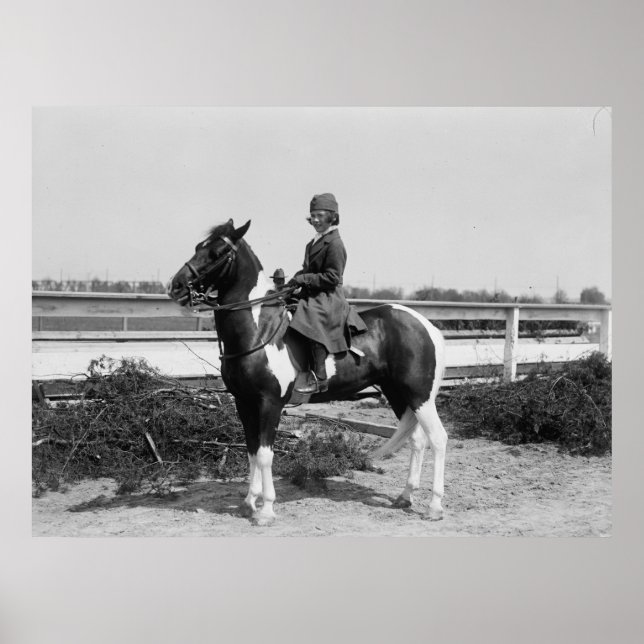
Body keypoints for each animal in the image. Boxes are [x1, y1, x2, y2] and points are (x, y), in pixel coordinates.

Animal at [167, 219, 447, 526]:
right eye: (198, 247)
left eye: (217, 253)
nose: (175, 286)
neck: (257, 330)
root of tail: (425, 325)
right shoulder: (244, 403)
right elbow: (252, 451)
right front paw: (249, 502)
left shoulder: (270, 403)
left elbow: (265, 455)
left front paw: (266, 510)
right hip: (399, 394)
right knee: (418, 440)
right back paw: (405, 496)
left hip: (419, 395)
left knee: (438, 438)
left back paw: (434, 506)